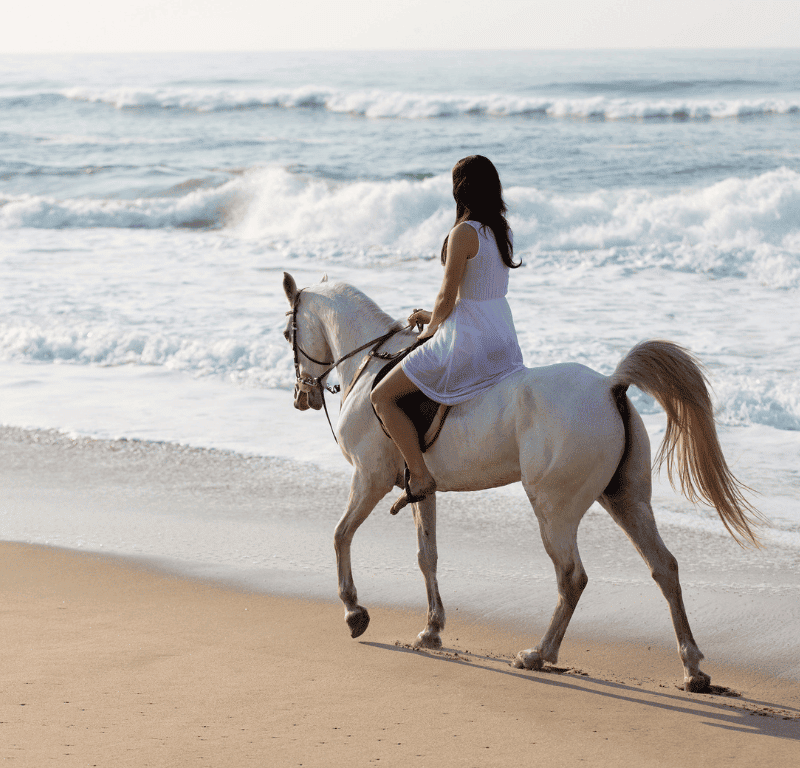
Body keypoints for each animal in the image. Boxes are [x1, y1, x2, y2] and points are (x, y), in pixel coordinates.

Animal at [282, 272, 764, 692]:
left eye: (288, 334)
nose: (302, 397)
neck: (370, 367)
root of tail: (610, 386)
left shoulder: (370, 478)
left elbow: (340, 535)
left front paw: (353, 612)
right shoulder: (422, 489)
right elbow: (427, 556)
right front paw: (431, 629)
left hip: (554, 509)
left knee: (572, 577)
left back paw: (539, 653)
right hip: (626, 500)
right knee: (664, 567)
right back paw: (693, 669)